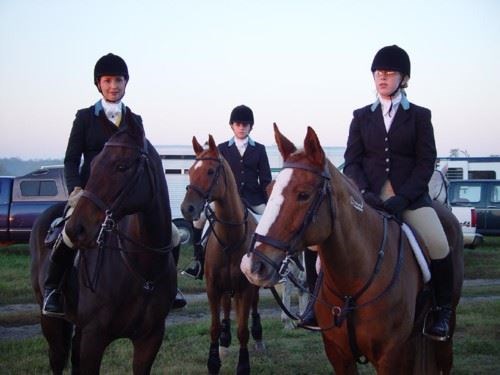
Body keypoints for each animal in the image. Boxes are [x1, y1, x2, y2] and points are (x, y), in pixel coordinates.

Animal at [29, 112, 178, 375]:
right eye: (94, 163)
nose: (75, 229)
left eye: (121, 166)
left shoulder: (150, 339)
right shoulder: (94, 338)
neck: (142, 267)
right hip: (51, 322)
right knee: (57, 358)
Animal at [181, 136, 266, 375]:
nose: (187, 208)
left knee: (254, 305)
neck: (230, 236)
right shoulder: (212, 287)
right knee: (226, 308)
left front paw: (243, 365)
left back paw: (258, 336)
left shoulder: (245, 288)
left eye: (210, 171)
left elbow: (243, 330)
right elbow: (214, 326)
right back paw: (225, 340)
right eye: (191, 170)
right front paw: (213, 361)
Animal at [240, 125, 462, 374]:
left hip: (444, 336)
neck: (351, 284)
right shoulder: (338, 354)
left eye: (303, 194)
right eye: (269, 191)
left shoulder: (391, 356)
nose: (251, 266)